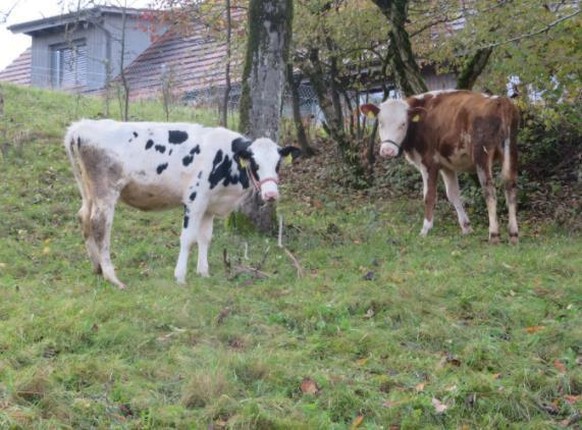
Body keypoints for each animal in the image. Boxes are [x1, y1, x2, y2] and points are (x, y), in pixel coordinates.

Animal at [65, 119, 298, 288]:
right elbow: (188, 238)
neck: (225, 157)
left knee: (83, 217)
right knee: (100, 225)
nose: (271, 194)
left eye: (278, 164)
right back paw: (111, 277)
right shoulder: (195, 200)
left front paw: (203, 272)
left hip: (88, 190)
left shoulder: (209, 205)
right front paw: (180, 276)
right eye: (254, 163)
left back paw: (97, 268)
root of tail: (81, 126)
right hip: (106, 191)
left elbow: (205, 238)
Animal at [362, 89, 524, 244]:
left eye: (403, 124)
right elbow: (453, 194)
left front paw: (425, 229)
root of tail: (500, 101)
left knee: (489, 191)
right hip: (511, 151)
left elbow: (429, 195)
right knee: (510, 186)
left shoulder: (429, 162)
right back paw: (513, 234)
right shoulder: (447, 166)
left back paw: (494, 234)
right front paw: (466, 227)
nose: (387, 151)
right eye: (380, 122)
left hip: (481, 154)